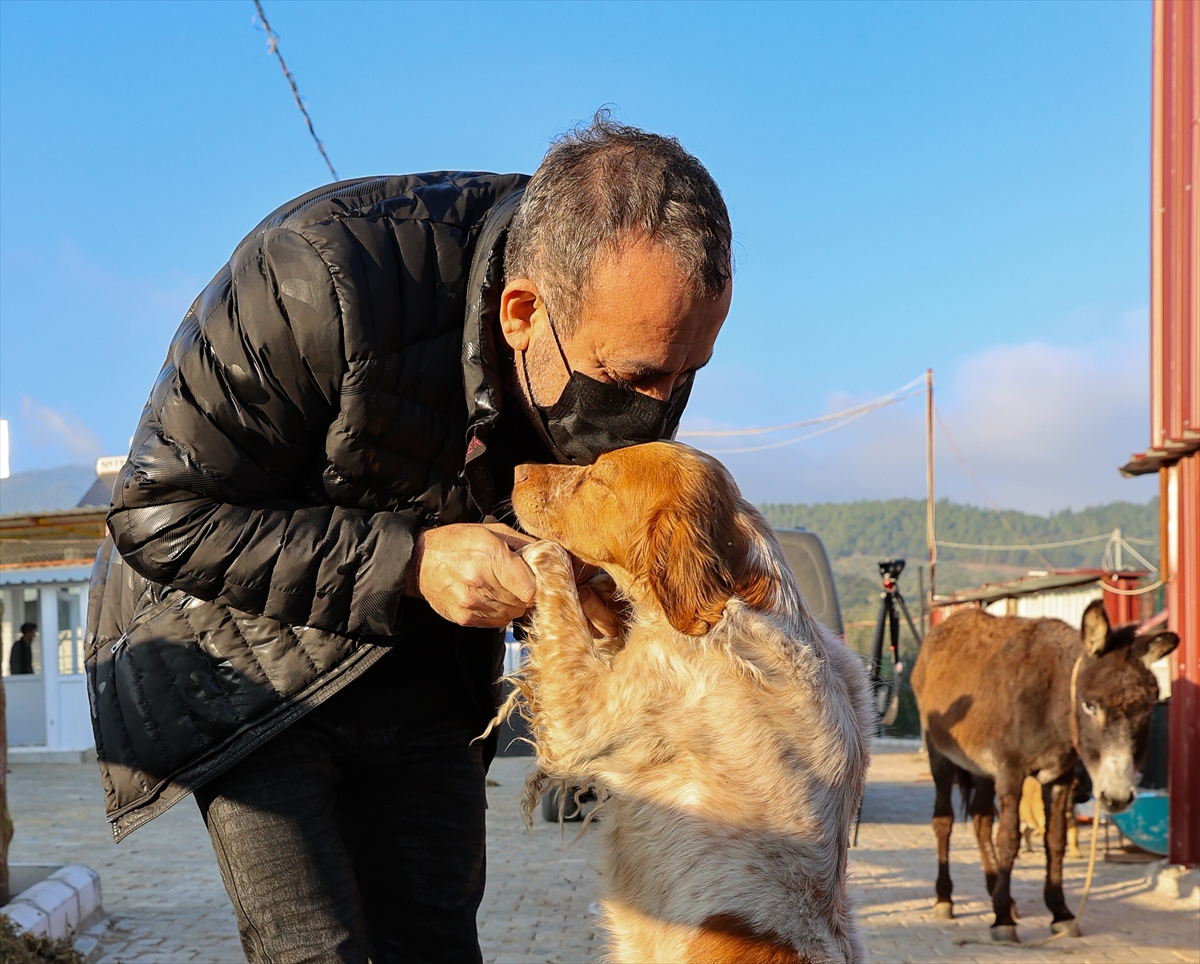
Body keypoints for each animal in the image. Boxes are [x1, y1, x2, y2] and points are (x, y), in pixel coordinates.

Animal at [489, 444, 873, 964]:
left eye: (599, 478)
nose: (516, 469)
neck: (729, 603)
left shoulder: (581, 719)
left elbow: (555, 572)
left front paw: (534, 552)